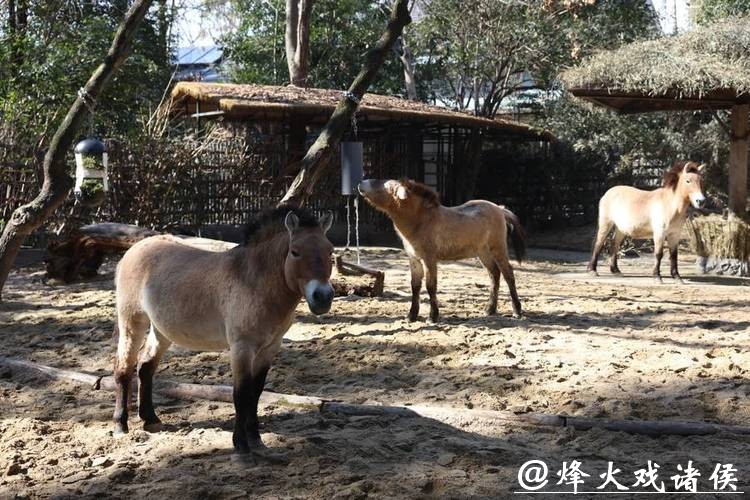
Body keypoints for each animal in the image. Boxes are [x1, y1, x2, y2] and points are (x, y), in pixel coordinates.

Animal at [112, 206, 334, 461]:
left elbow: (256, 393)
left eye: (330, 251)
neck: (254, 281)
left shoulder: (270, 347)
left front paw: (256, 440)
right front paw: (241, 446)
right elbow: (241, 394)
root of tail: (134, 250)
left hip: (161, 330)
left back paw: (151, 419)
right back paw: (120, 425)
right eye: (295, 252)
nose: (323, 297)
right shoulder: (242, 347)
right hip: (132, 322)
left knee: (145, 366)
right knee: (123, 369)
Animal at [358, 178, 525, 322]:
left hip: (498, 249)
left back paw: (517, 310)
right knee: (494, 274)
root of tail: (500, 209)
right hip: (483, 252)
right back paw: (490, 309)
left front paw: (433, 317)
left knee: (508, 274)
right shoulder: (414, 259)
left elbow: (431, 286)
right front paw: (411, 316)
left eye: (384, 185)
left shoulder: (429, 259)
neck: (421, 220)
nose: (361, 183)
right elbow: (415, 286)